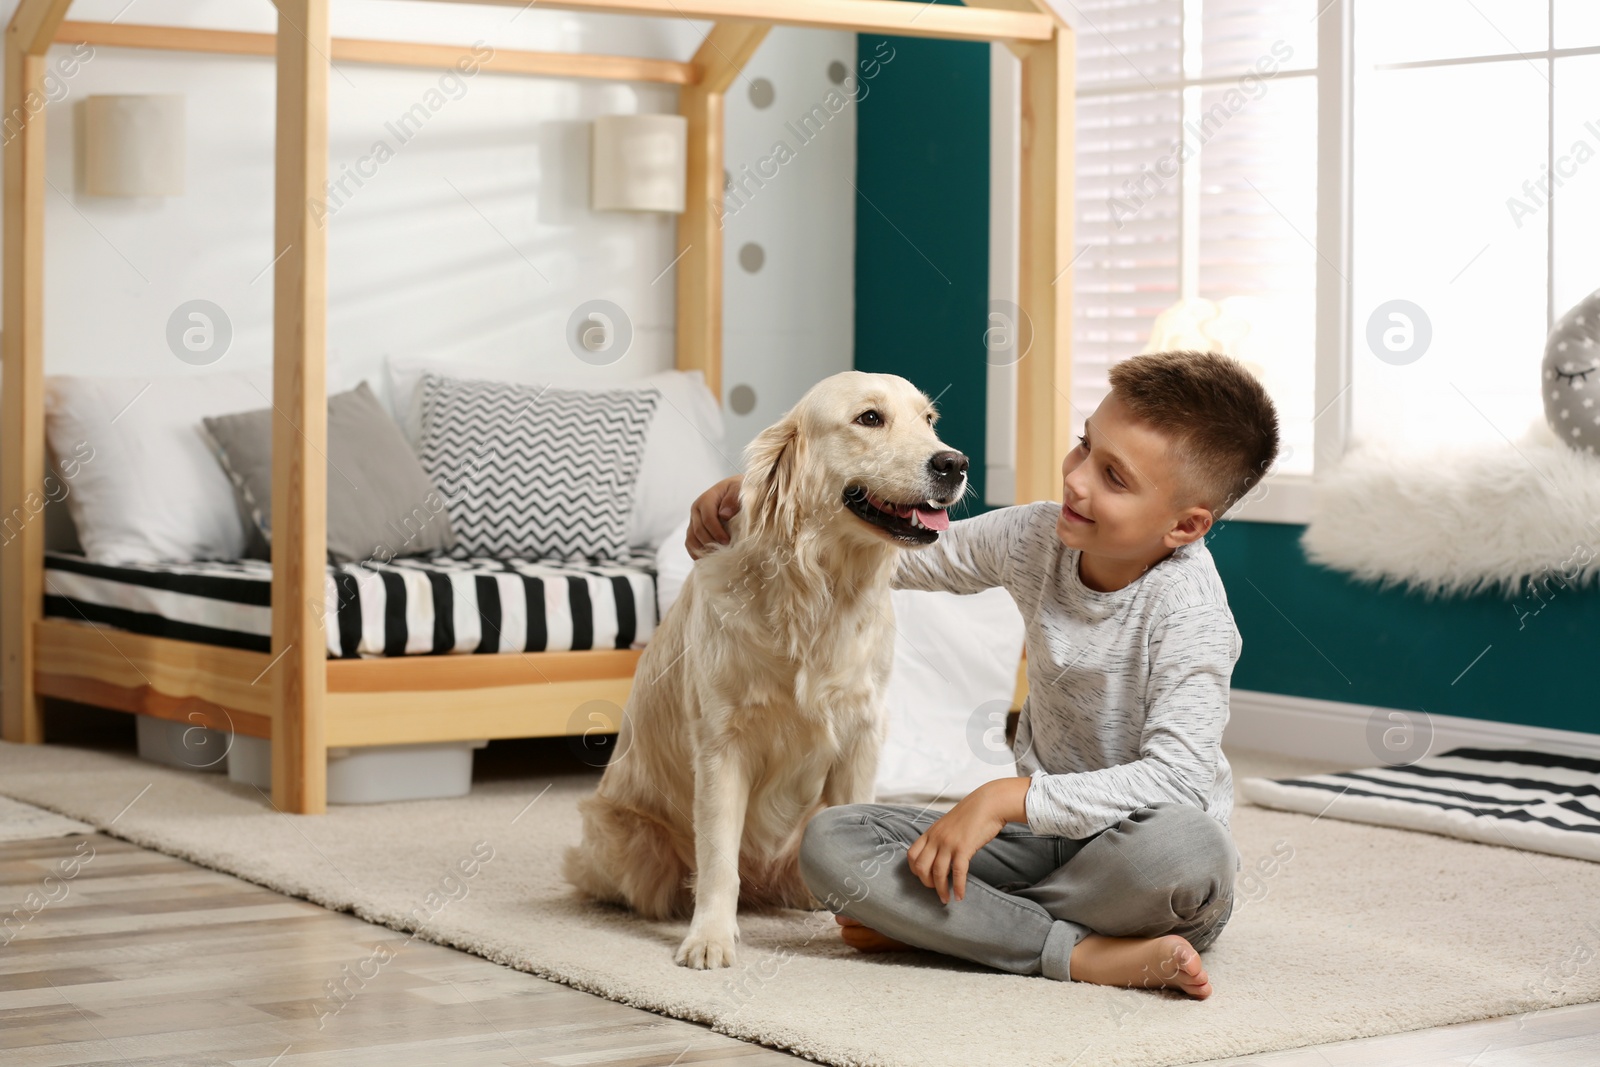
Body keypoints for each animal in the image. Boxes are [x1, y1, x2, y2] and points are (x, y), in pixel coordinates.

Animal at [556, 374, 966, 966]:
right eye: (869, 418)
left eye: (929, 420)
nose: (954, 463)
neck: (818, 592)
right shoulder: (721, 744)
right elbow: (718, 859)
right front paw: (709, 937)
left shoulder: (862, 734)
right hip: (624, 839)